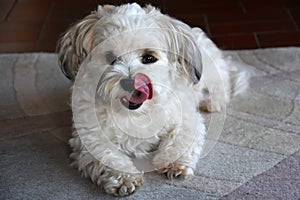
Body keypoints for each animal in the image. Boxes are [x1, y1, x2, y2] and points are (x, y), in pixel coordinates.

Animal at [56, 2, 248, 197]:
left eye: (149, 57)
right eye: (110, 58)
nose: (130, 82)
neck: (136, 113)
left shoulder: (187, 119)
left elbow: (180, 139)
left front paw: (175, 164)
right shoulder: (90, 137)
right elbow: (107, 155)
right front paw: (125, 179)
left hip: (211, 71)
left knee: (221, 87)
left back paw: (212, 102)